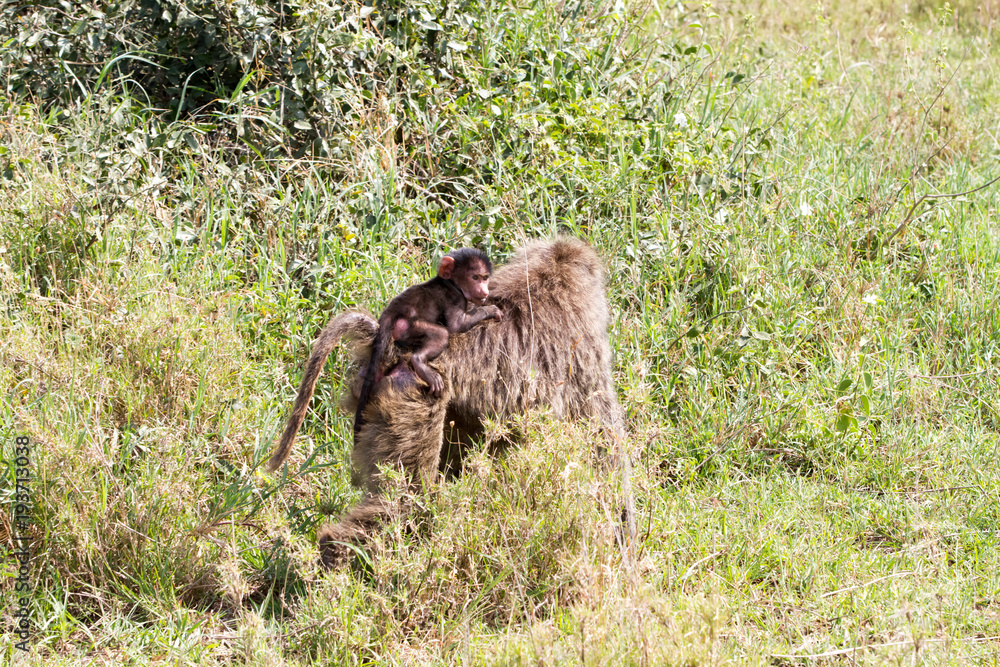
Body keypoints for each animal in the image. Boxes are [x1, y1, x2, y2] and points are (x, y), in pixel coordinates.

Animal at [353, 248, 503, 436]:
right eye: (475, 277)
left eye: (485, 277)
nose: (484, 291)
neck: (451, 283)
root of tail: (390, 313)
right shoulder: (455, 298)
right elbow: (457, 326)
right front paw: (491, 310)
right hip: (408, 328)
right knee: (441, 334)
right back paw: (420, 362)